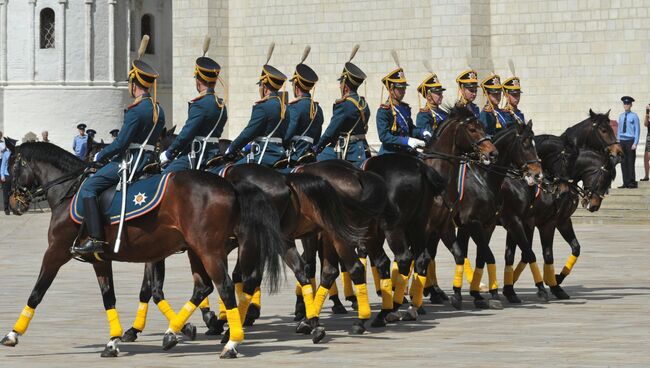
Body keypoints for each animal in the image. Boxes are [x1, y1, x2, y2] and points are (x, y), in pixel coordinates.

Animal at [0, 142, 284, 360]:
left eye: (13, 165)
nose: (13, 203)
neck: (68, 191)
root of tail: (230, 186)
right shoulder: (101, 259)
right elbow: (111, 297)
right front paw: (114, 340)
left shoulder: (55, 252)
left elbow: (37, 292)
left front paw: (13, 333)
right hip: (199, 250)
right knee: (207, 286)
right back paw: (178, 333)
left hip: (210, 251)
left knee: (227, 285)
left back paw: (231, 341)